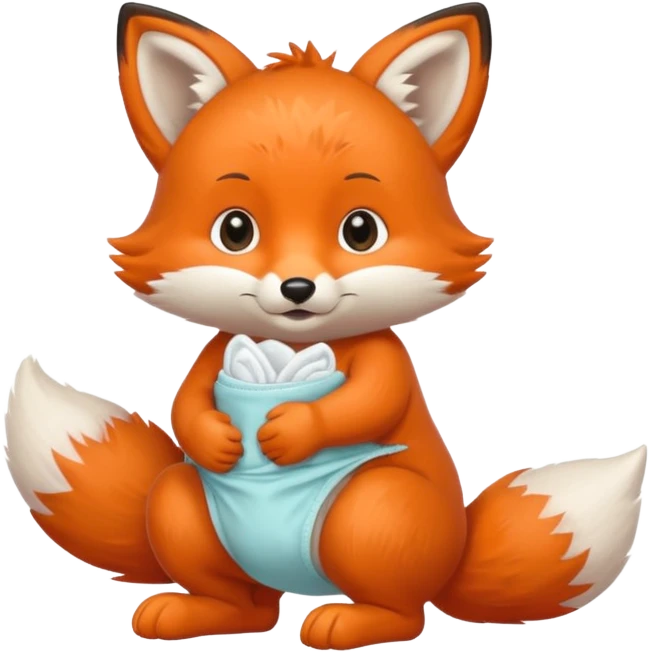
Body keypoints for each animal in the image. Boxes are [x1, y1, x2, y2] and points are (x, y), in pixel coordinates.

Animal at [1, 1, 648, 649]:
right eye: (235, 231)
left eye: (360, 231)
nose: (297, 287)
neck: (287, 351)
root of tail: (454, 559)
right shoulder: (213, 356)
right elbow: (187, 402)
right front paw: (215, 437)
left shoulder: (385, 358)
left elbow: (370, 399)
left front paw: (296, 429)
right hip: (182, 507)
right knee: (250, 605)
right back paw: (200, 612)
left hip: (376, 510)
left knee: (404, 610)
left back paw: (352, 619)